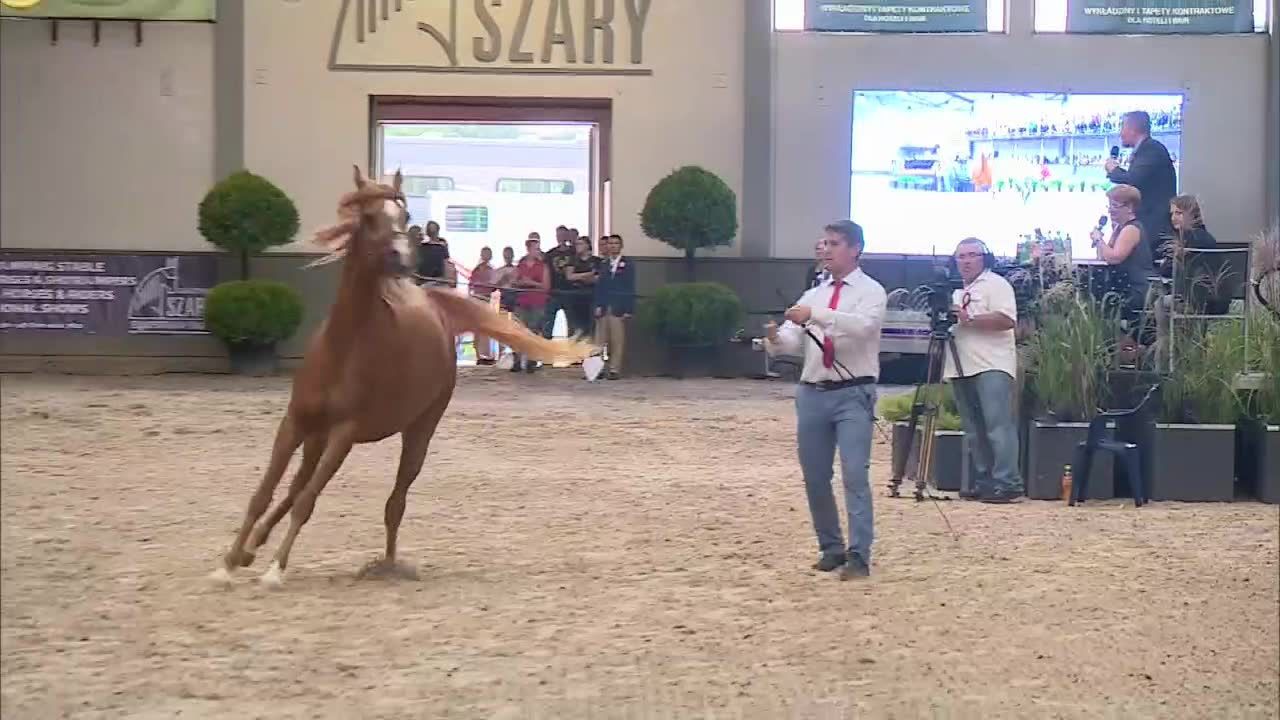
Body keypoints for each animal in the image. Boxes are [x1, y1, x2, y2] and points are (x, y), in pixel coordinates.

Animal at [209, 166, 588, 584]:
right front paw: (228, 563)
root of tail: (436, 305)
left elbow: (307, 502)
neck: (344, 346)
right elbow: (265, 493)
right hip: (316, 437)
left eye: (403, 217)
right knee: (296, 485)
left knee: (393, 502)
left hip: (418, 430)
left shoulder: (344, 433)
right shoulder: (295, 423)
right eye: (369, 216)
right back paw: (252, 549)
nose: (404, 260)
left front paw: (275, 570)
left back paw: (387, 564)